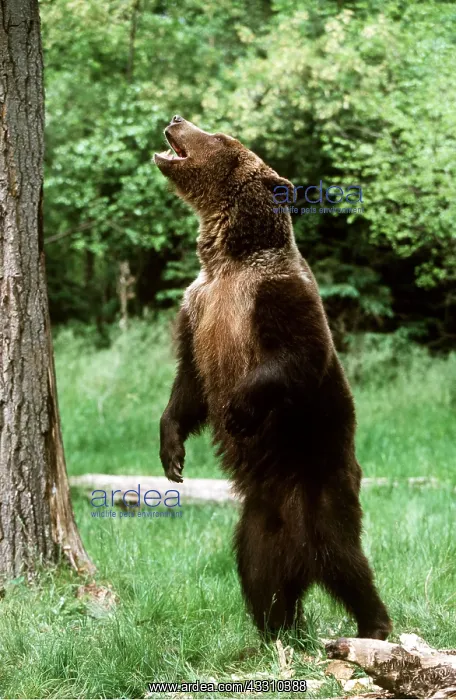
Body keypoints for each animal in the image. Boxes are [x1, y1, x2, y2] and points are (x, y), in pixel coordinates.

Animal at [155, 115, 392, 639]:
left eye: (219, 137)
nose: (178, 119)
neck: (229, 258)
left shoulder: (272, 295)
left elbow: (298, 356)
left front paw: (239, 411)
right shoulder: (198, 308)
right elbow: (189, 383)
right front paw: (172, 452)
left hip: (323, 482)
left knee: (347, 560)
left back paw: (375, 624)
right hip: (258, 523)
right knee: (258, 574)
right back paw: (275, 629)